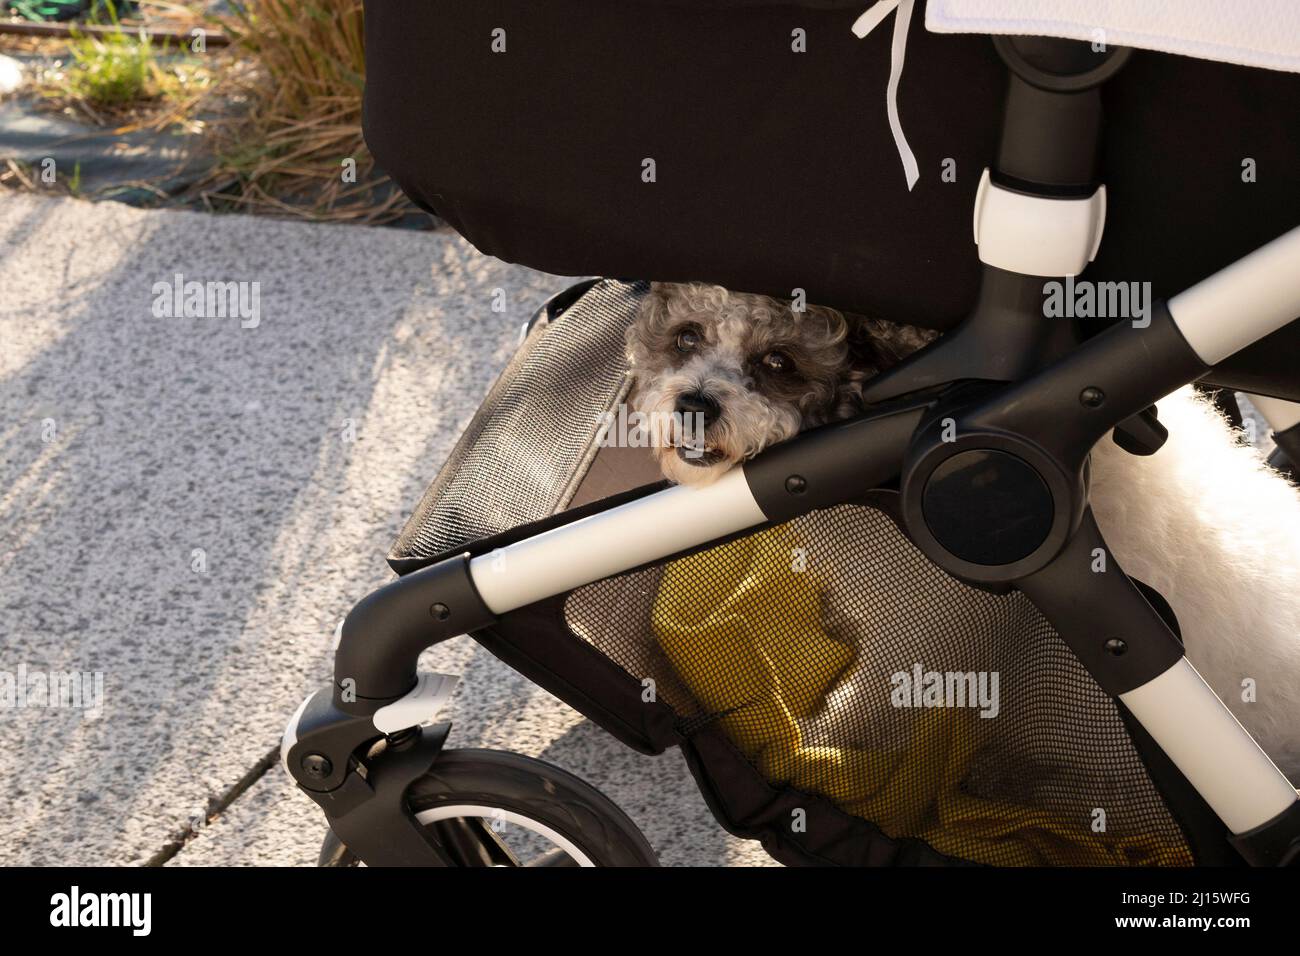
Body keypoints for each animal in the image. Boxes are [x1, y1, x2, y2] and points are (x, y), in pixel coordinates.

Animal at [624, 282, 1294, 785]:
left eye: (778, 362)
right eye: (686, 336)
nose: (694, 405)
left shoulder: (919, 637)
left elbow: (853, 715)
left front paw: (808, 750)